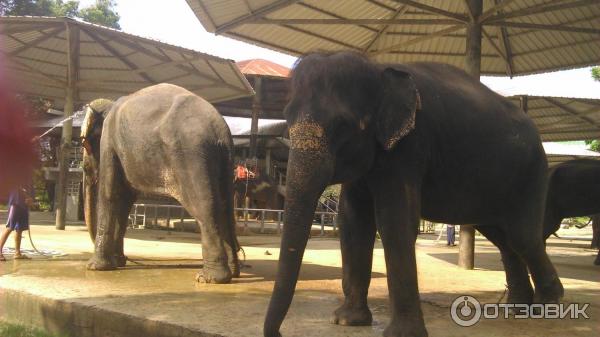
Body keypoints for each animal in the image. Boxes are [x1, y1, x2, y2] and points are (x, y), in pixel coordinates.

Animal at [82, 82, 241, 282]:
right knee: (225, 206)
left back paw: (209, 278)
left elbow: (110, 194)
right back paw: (233, 273)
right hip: (223, 161)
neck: (108, 106)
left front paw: (95, 267)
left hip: (191, 156)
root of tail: (221, 131)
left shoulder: (109, 143)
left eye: (84, 165)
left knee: (205, 208)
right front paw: (118, 262)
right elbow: (125, 201)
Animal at [262, 50, 564, 336]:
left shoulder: (411, 144)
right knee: (503, 238)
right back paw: (517, 308)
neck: (377, 69)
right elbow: (352, 223)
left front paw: (400, 334)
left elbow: (395, 222)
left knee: (523, 237)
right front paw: (347, 321)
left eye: (343, 125)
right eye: (286, 119)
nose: (278, 333)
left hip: (532, 172)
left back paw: (548, 305)